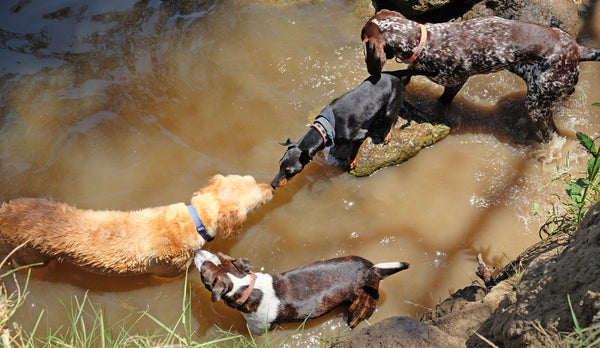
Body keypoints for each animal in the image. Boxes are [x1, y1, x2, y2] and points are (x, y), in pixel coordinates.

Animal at [0, 174, 274, 278]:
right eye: (257, 198)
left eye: (251, 179)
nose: (271, 187)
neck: (194, 220)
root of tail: (5, 211)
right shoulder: (168, 271)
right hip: (32, 259)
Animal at [195, 249, 410, 334]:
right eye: (216, 254)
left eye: (203, 271)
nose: (197, 251)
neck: (245, 285)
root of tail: (373, 271)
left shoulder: (259, 330)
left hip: (357, 312)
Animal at [272, 70, 426, 188]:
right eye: (279, 164)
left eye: (291, 171)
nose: (273, 184)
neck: (324, 128)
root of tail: (396, 74)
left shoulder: (360, 135)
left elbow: (354, 150)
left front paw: (352, 161)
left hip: (390, 107)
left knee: (393, 118)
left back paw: (387, 134)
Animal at [360, 9, 600, 143]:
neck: (425, 42)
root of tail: (577, 49)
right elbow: (409, 77)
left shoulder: (454, 81)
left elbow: (438, 99)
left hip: (537, 104)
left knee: (552, 133)